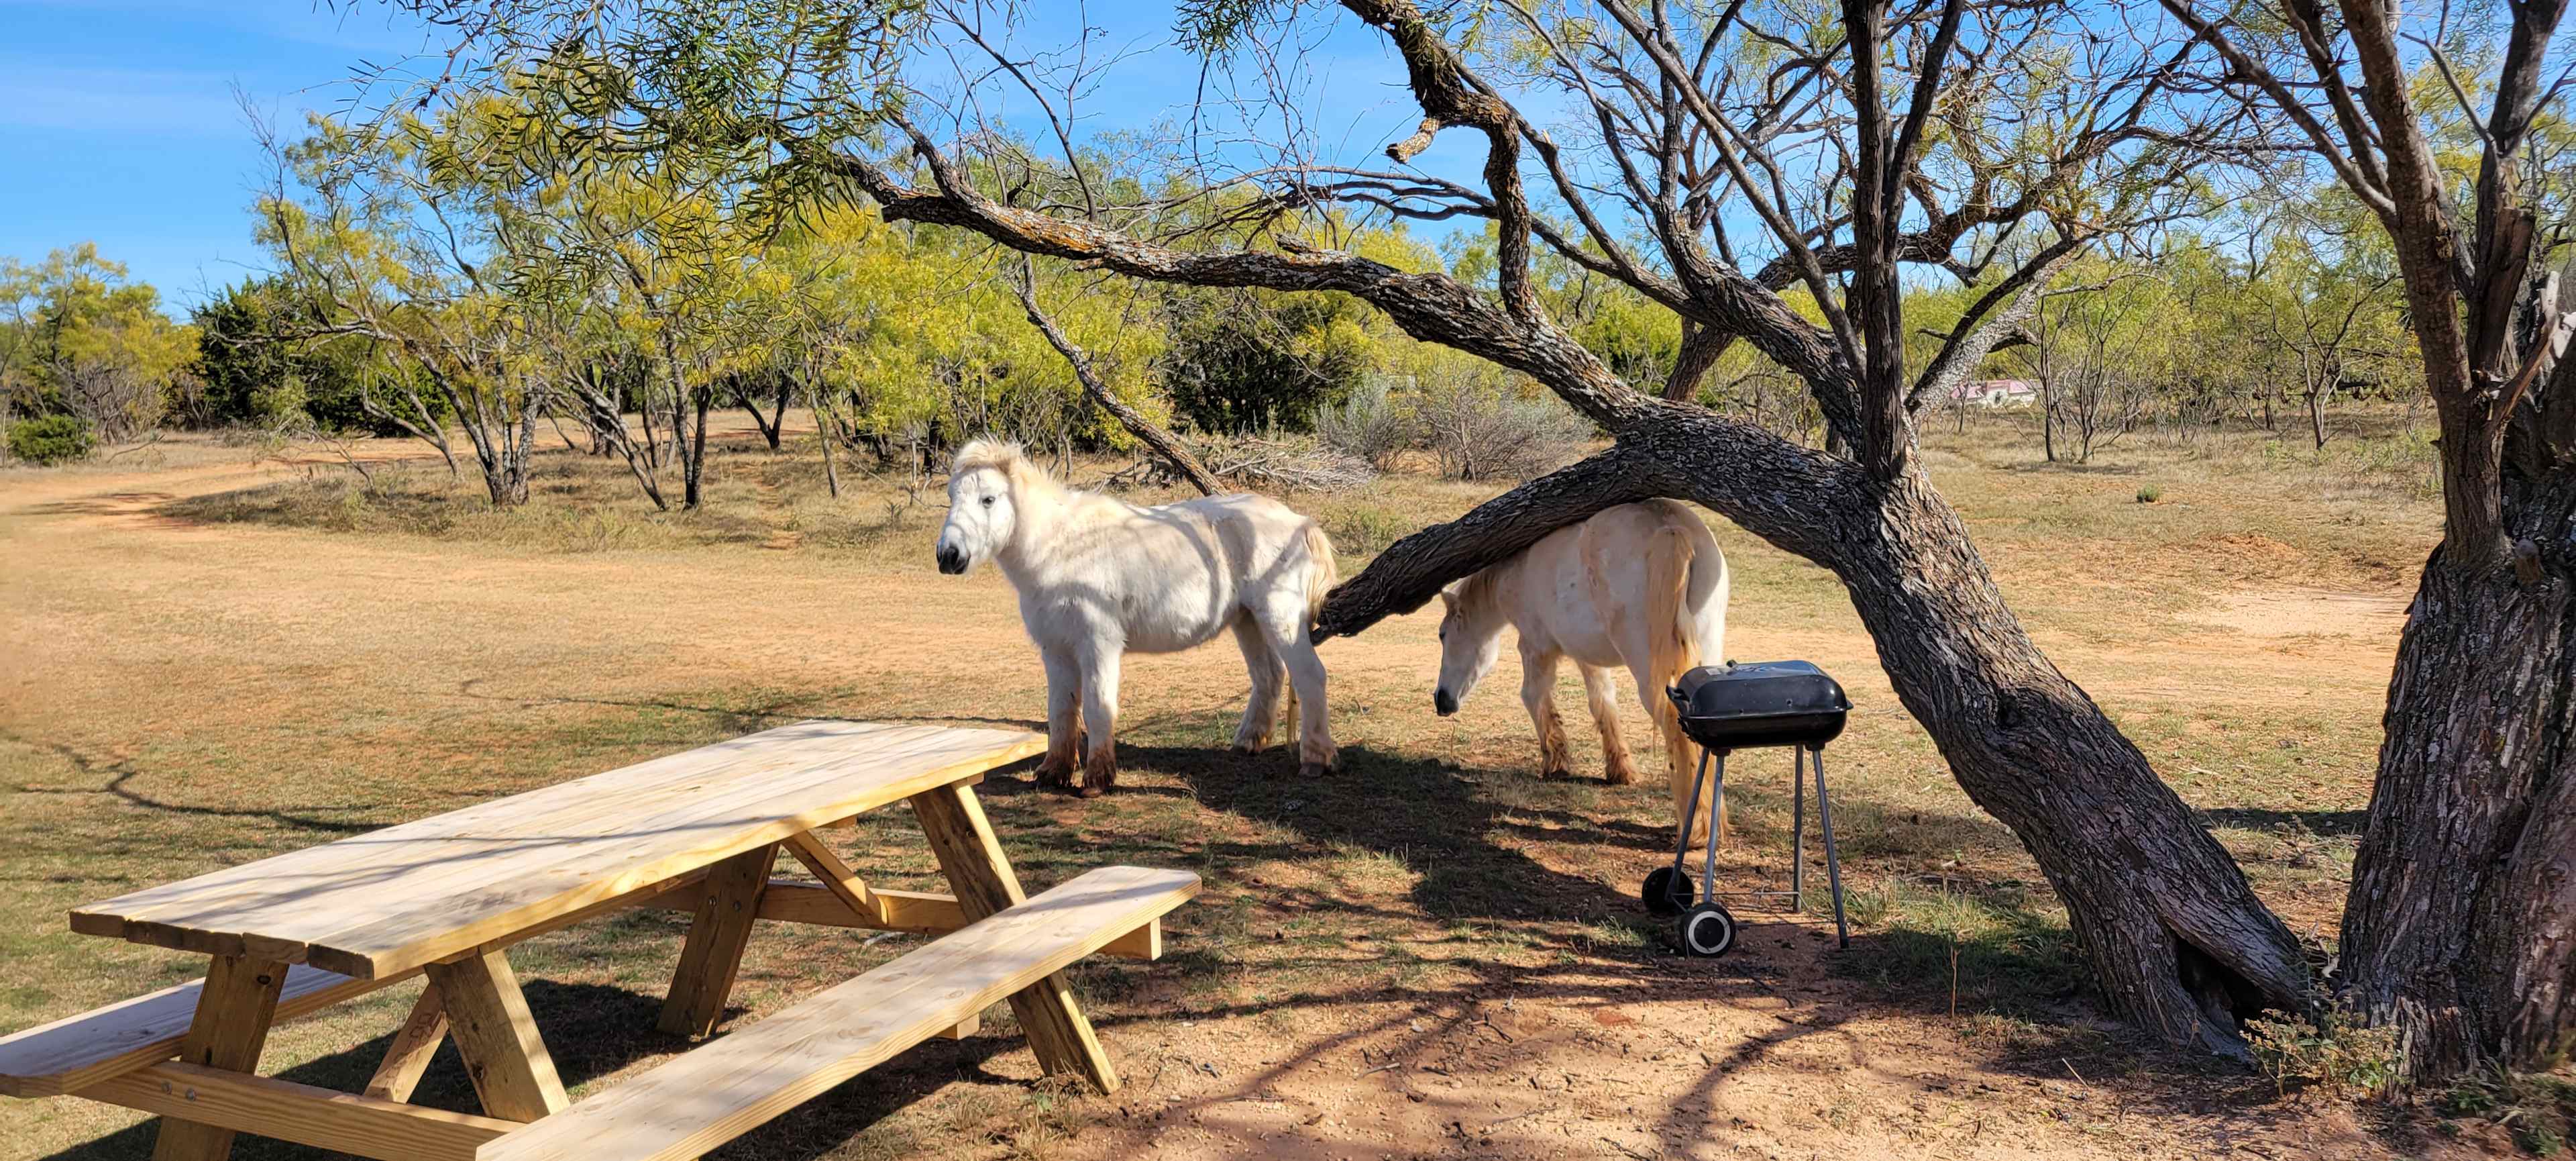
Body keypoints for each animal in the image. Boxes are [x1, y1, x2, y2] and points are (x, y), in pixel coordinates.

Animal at [934, 439, 1339, 796]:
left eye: (988, 499)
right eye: (952, 496)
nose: (948, 556)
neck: (1061, 548)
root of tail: (1299, 522)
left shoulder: (1098, 646)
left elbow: (1098, 707)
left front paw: (1097, 781)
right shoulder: (1056, 649)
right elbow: (1061, 710)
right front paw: (1053, 774)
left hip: (1280, 618)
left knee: (1310, 676)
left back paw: (1316, 760)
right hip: (1248, 620)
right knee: (1268, 676)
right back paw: (1248, 743)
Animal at [1431, 500, 1730, 845]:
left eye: (1442, 634)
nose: (1441, 700)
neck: (1517, 569)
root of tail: (1671, 528)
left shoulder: (1535, 647)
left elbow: (1533, 697)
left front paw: (1555, 762)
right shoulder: (1586, 655)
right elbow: (1602, 701)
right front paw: (1620, 769)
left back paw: (1694, 828)